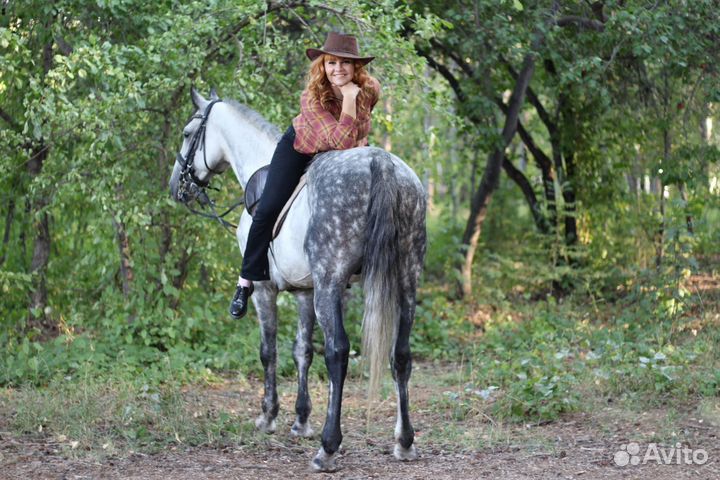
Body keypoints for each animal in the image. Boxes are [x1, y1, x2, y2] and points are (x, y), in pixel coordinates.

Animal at [168, 88, 426, 472]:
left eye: (187, 134)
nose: (177, 186)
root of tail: (381, 164)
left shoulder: (265, 289)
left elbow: (269, 351)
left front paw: (269, 415)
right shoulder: (305, 291)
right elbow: (302, 351)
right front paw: (301, 419)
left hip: (331, 285)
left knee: (338, 352)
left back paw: (328, 447)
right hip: (406, 281)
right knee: (402, 355)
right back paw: (404, 441)